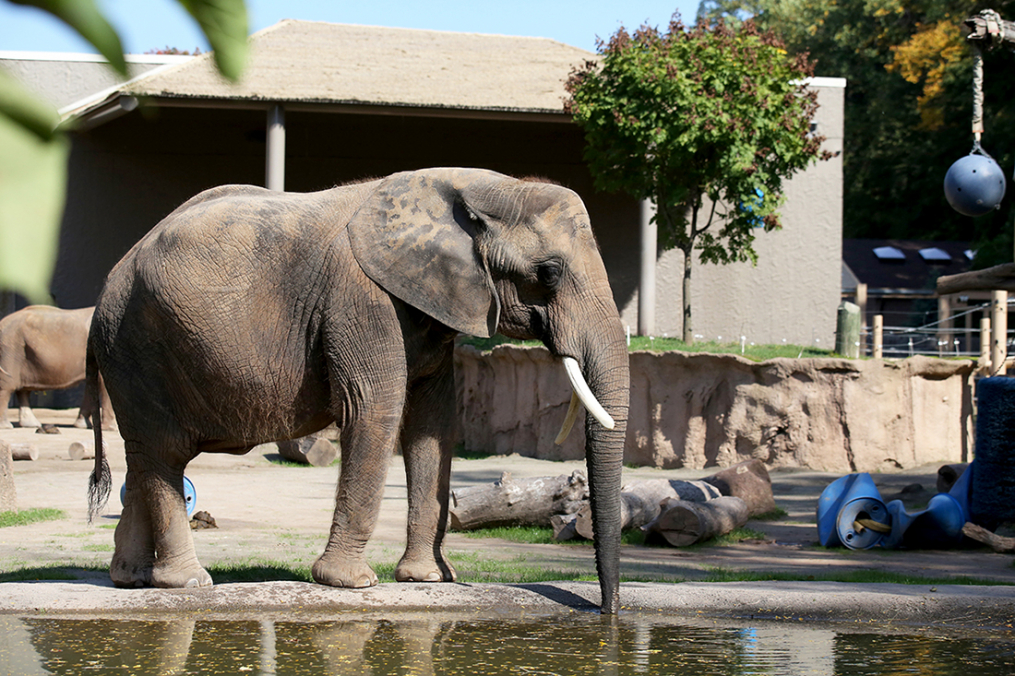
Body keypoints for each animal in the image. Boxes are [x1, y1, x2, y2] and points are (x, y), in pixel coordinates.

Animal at [86, 167, 630, 613]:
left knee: (145, 455)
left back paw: (131, 580)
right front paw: (352, 584)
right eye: (550, 272)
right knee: (164, 453)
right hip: (138, 345)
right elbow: (375, 412)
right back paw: (188, 584)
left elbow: (433, 426)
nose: (607, 612)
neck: (479, 186)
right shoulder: (362, 300)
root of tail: (107, 283)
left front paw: (429, 580)